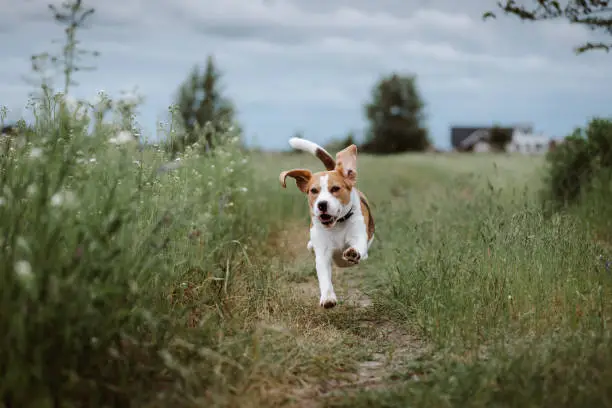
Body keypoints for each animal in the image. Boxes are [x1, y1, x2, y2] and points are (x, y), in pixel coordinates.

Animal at [280, 138, 376, 310]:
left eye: (335, 188)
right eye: (313, 191)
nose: (322, 205)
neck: (337, 225)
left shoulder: (358, 236)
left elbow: (357, 246)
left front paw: (353, 253)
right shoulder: (323, 253)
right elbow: (324, 277)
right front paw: (328, 298)